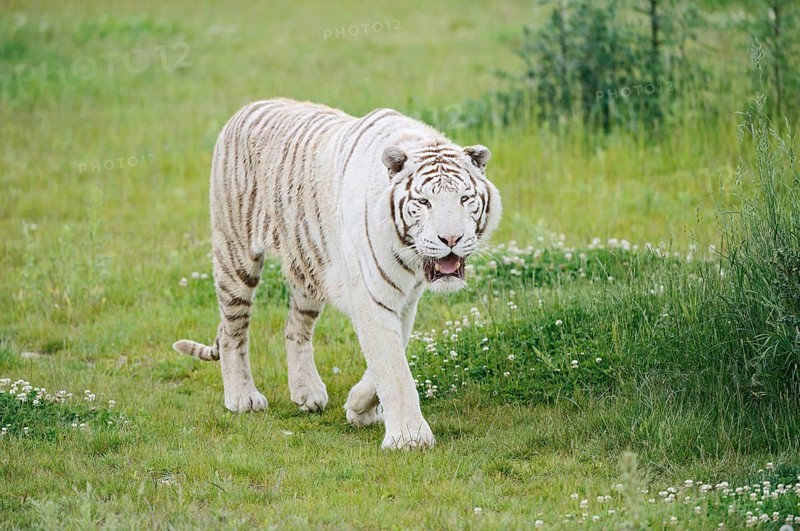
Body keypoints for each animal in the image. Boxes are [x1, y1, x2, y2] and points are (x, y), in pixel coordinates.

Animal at [173, 99, 502, 449]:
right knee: (232, 330)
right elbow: (393, 368)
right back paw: (242, 398)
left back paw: (307, 392)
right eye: (424, 202)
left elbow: (391, 355)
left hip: (308, 267)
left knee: (294, 327)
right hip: (236, 257)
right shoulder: (373, 295)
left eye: (465, 199)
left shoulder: (406, 301)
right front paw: (409, 438)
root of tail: (246, 108)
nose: (450, 239)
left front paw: (359, 408)